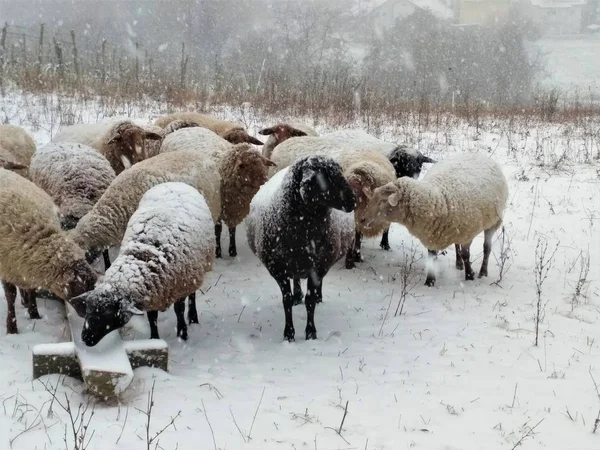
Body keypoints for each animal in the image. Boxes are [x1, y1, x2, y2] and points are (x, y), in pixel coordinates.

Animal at [0, 167, 98, 332]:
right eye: (81, 288)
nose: (88, 317)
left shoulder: (23, 266)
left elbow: (31, 290)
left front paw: (34, 314)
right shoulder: (6, 267)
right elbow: (10, 296)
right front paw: (11, 328)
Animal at [71, 181, 216, 346]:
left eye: (108, 313)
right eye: (87, 309)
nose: (85, 338)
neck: (144, 256)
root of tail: (175, 183)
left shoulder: (181, 285)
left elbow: (179, 310)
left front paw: (182, 334)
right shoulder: (153, 292)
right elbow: (152, 317)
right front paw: (154, 339)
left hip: (197, 270)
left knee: (192, 296)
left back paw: (193, 318)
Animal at [245, 155, 356, 342]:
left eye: (340, 172)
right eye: (326, 177)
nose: (353, 200)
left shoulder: (318, 266)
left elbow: (310, 300)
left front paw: (311, 332)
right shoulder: (278, 268)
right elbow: (286, 300)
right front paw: (289, 334)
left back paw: (318, 297)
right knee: (296, 279)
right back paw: (298, 296)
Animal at [358, 153, 508, 286]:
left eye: (383, 201)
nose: (362, 220)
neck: (439, 199)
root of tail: (478, 153)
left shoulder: (467, 233)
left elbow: (466, 254)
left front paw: (470, 276)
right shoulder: (432, 233)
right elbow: (432, 257)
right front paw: (429, 282)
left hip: (494, 221)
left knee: (486, 248)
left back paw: (483, 272)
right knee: (457, 245)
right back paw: (458, 263)